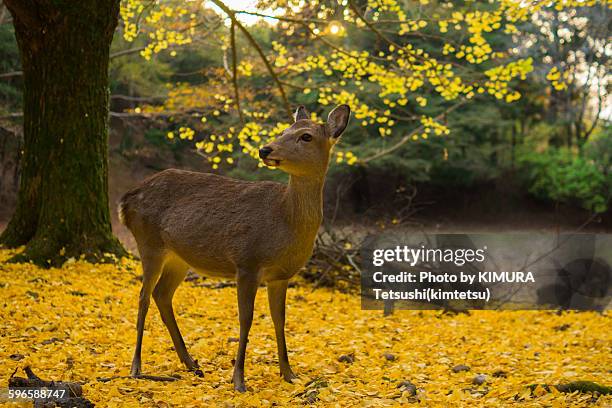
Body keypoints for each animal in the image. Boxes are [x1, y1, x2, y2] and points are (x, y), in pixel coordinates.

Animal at [118, 103, 350, 390]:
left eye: (305, 136)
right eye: (284, 130)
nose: (265, 149)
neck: (284, 221)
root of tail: (125, 200)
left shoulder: (281, 276)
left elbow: (280, 319)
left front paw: (289, 374)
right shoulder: (247, 262)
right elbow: (246, 318)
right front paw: (239, 380)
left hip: (179, 258)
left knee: (162, 294)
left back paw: (192, 364)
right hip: (148, 242)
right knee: (143, 296)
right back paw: (136, 366)